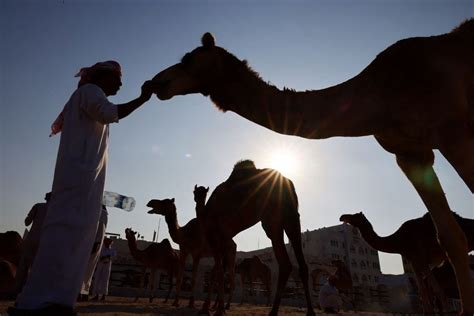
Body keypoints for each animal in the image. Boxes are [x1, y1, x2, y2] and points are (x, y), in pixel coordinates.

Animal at [338, 210, 472, 314]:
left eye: (355, 215)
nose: (342, 217)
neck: (399, 241)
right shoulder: (414, 262)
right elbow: (423, 293)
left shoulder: (420, 258)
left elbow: (436, 291)